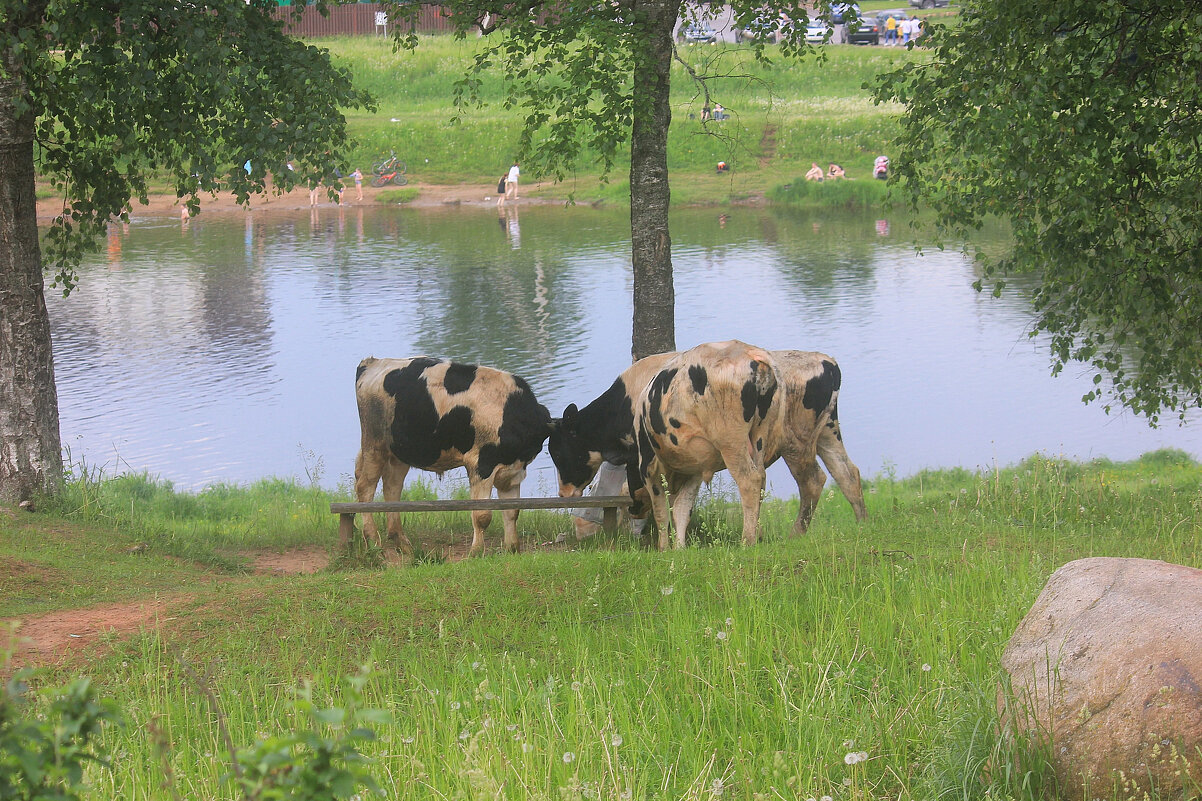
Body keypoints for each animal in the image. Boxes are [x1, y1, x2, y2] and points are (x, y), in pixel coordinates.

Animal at [350, 356, 550, 555]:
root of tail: (374, 362)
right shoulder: (480, 465)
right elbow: (482, 515)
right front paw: (476, 552)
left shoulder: (513, 471)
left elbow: (512, 511)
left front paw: (512, 548)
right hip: (374, 444)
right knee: (365, 487)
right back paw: (373, 541)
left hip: (398, 453)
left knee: (392, 488)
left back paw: (402, 543)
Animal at [550, 343, 870, 543]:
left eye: (559, 452)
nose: (563, 494)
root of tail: (824, 361)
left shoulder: (645, 457)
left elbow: (659, 502)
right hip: (824, 432)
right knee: (847, 473)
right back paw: (863, 523)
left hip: (788, 442)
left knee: (804, 481)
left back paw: (775, 537)